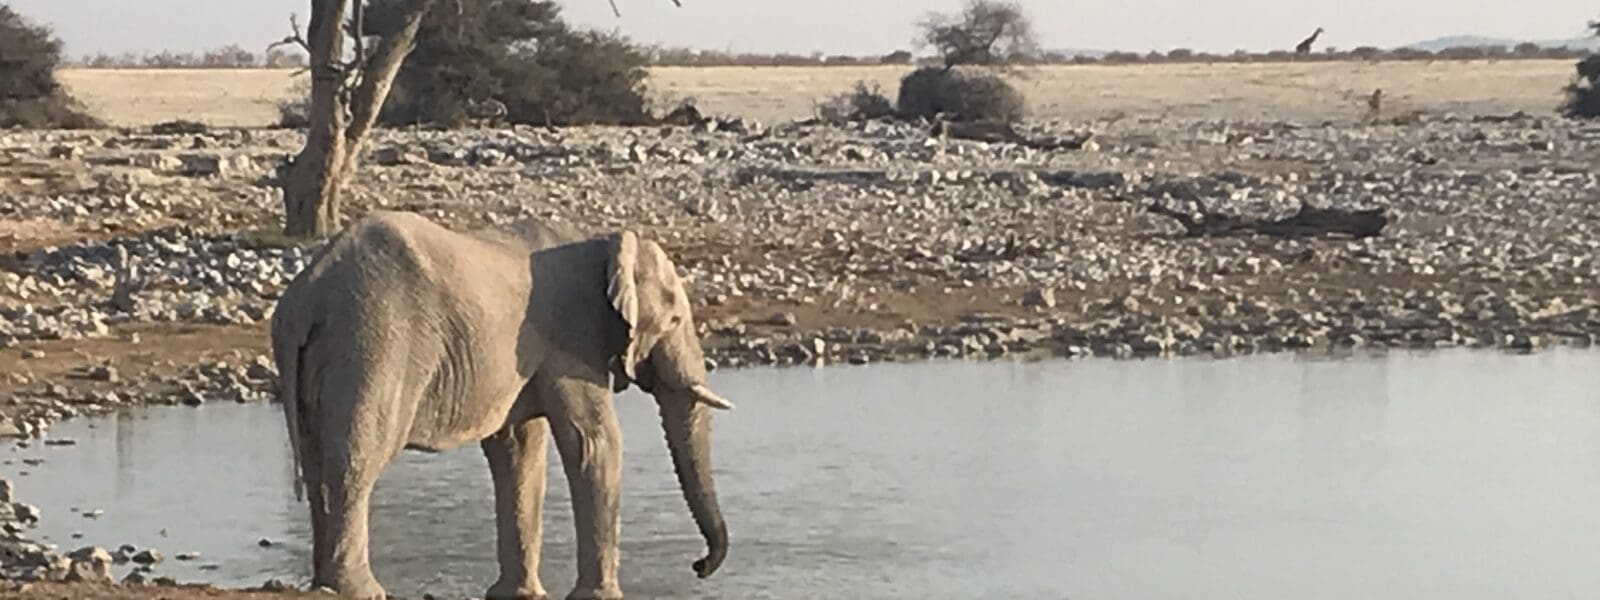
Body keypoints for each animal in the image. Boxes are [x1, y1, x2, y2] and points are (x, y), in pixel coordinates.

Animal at [268, 211, 732, 600]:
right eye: (674, 321)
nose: (699, 566)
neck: (604, 243)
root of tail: (305, 297)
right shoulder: (573, 339)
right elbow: (593, 443)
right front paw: (599, 598)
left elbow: (518, 448)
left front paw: (520, 595)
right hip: (372, 344)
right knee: (357, 459)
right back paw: (362, 591)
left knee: (317, 462)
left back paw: (323, 586)